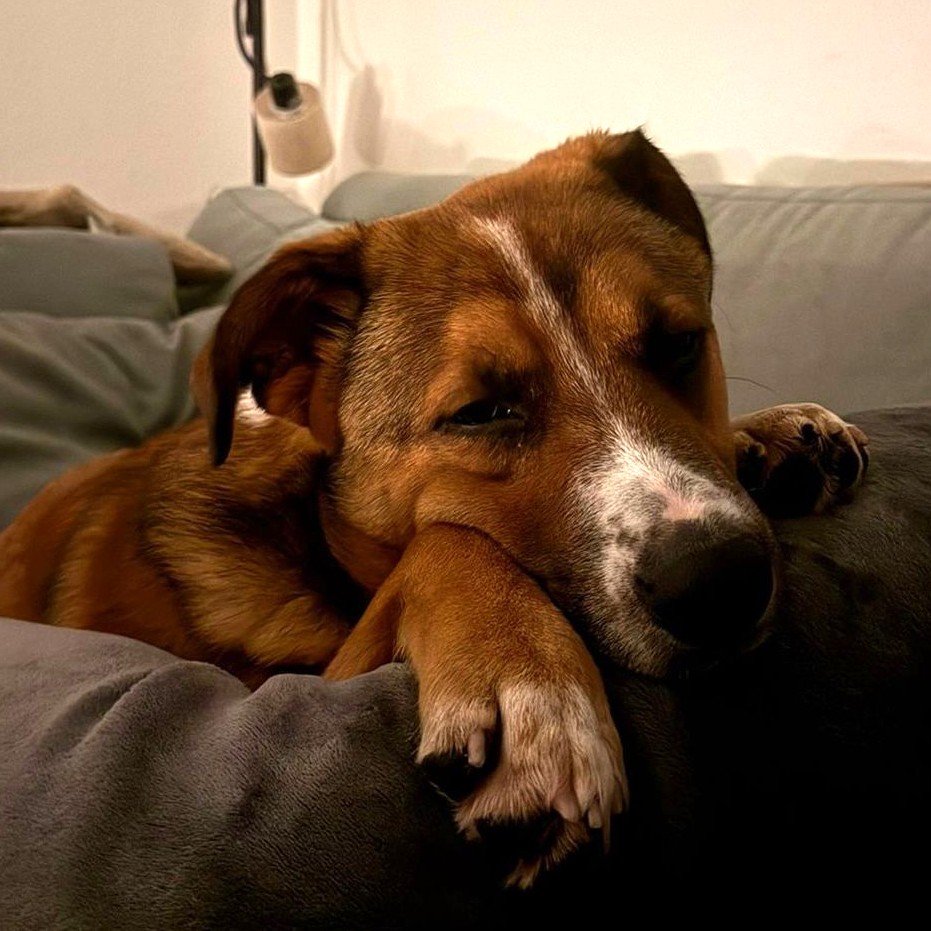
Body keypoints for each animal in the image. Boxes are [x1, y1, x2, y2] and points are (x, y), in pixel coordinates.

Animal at [0, 130, 868, 886]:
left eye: (679, 342)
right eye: (479, 411)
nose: (719, 582)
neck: (310, 527)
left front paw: (763, 435)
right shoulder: (309, 672)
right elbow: (445, 539)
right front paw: (525, 678)